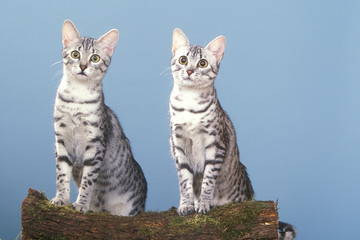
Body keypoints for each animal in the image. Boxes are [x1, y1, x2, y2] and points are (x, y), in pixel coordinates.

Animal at [50, 19, 146, 217]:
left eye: (95, 58)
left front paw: (81, 204)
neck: (77, 98)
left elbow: (88, 182)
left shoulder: (95, 145)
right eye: (75, 54)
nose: (83, 66)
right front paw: (61, 199)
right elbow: (61, 175)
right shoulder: (60, 140)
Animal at [170, 28, 296, 240]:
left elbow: (208, 180)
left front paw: (204, 203)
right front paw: (187, 204)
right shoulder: (178, 145)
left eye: (202, 63)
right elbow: (185, 181)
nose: (189, 71)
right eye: (183, 60)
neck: (189, 103)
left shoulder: (216, 145)